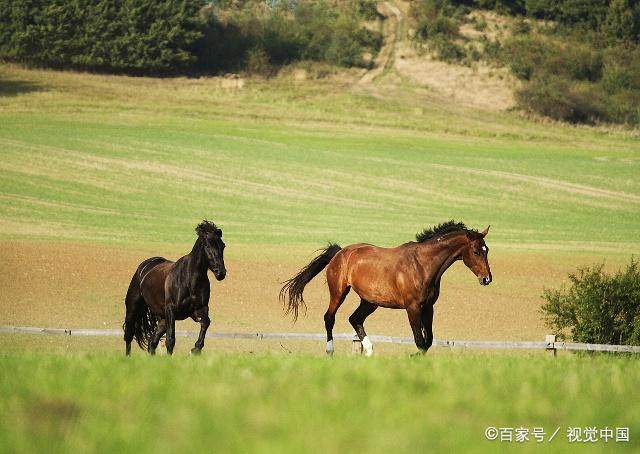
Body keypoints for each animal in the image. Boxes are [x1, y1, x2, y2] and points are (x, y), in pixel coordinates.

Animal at [124, 220, 226, 354]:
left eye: (223, 246)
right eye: (207, 245)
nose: (221, 273)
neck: (190, 280)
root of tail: (145, 267)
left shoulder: (199, 309)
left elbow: (206, 322)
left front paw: (196, 349)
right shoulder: (171, 310)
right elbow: (170, 339)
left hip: (162, 318)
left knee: (152, 341)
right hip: (133, 309)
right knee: (129, 336)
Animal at [278, 222, 492, 356]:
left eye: (486, 250)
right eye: (476, 251)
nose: (487, 279)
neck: (422, 265)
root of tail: (340, 252)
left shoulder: (428, 307)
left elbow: (428, 341)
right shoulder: (412, 308)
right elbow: (420, 341)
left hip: (370, 301)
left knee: (355, 319)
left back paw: (369, 351)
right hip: (339, 292)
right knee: (329, 318)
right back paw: (331, 352)